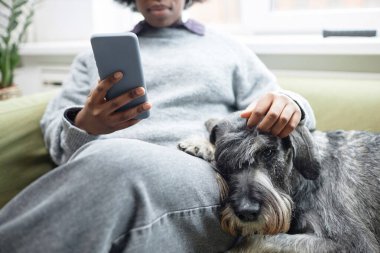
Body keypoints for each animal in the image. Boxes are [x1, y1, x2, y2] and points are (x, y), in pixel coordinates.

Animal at [177, 113, 380, 252]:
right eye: (223, 159)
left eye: (268, 152)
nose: (246, 211)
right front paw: (202, 145)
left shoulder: (351, 243)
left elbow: (261, 239)